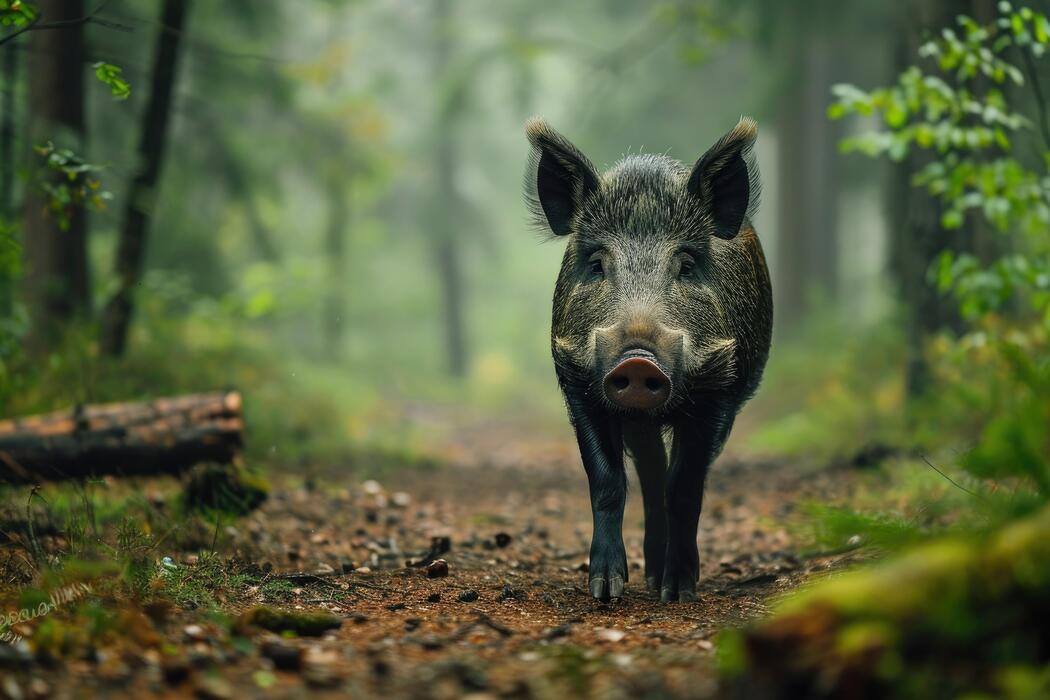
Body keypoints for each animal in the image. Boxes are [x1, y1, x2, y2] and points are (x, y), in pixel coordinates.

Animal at [524, 117, 773, 602]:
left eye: (687, 264)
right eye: (597, 263)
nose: (637, 361)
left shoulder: (718, 392)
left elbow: (686, 487)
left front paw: (678, 593)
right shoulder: (578, 383)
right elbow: (606, 482)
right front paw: (605, 590)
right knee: (651, 473)